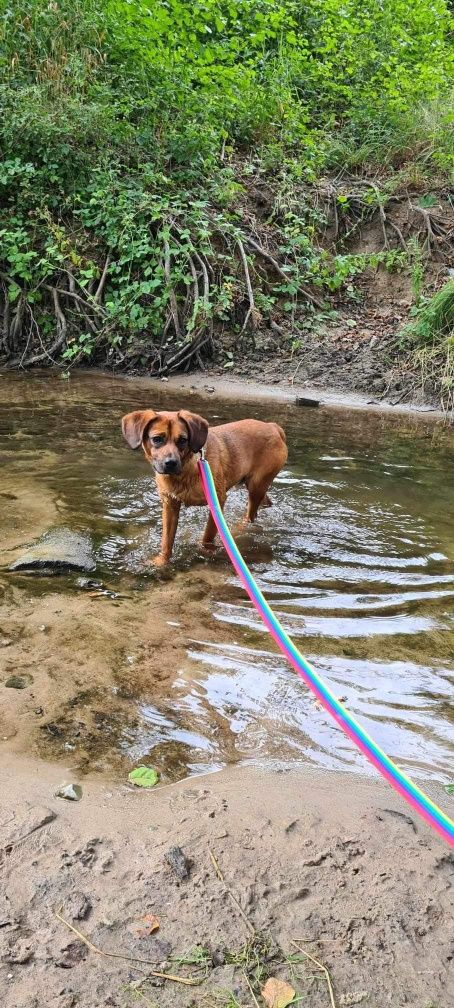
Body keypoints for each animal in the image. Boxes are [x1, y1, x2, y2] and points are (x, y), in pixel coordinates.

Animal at [120, 409, 286, 568]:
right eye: (157, 439)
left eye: (183, 440)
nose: (171, 463)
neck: (185, 472)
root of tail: (273, 427)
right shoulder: (170, 505)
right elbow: (166, 540)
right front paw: (162, 562)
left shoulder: (217, 502)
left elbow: (208, 535)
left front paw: (205, 551)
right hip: (255, 485)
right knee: (265, 502)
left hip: (256, 487)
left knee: (249, 516)